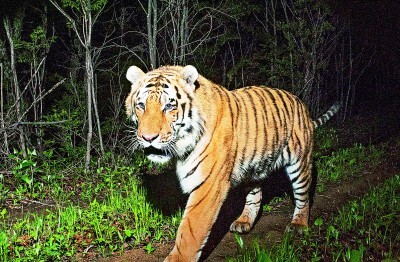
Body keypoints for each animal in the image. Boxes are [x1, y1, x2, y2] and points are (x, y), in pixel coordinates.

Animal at [125, 64, 340, 260]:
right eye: (141, 105)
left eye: (169, 106)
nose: (148, 138)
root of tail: (301, 104)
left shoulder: (208, 185)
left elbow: (190, 232)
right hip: (254, 167)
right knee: (255, 195)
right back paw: (243, 222)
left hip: (299, 163)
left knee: (303, 195)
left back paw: (299, 225)